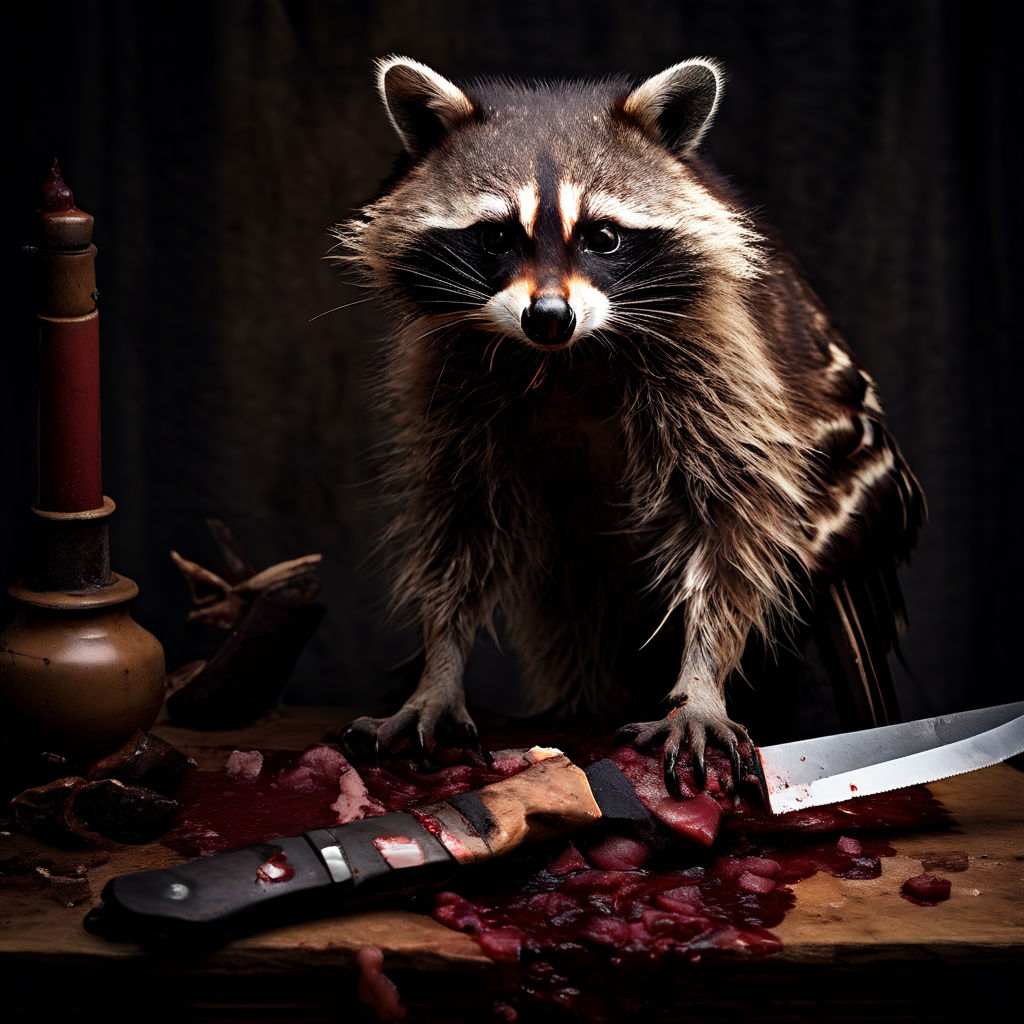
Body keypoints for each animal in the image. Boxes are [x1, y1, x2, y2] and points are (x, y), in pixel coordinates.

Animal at [334, 57, 924, 794]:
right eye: (495, 236)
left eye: (603, 236)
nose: (548, 317)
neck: (561, 356)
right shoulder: (451, 377)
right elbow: (461, 522)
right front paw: (439, 665)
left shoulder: (721, 364)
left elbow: (732, 524)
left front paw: (702, 681)